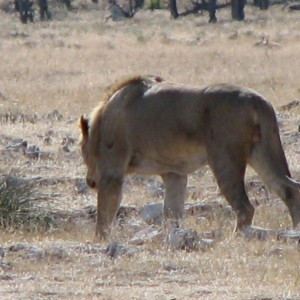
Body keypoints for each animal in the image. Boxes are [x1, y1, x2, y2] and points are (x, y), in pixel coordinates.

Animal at [79, 75, 300, 239]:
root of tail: (257, 101)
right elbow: (172, 212)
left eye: (82, 151)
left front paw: (99, 240)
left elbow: (104, 212)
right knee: (288, 191)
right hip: (263, 151)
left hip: (225, 159)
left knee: (245, 207)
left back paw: (234, 238)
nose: (90, 181)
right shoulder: (174, 173)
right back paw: (294, 231)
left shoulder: (112, 172)